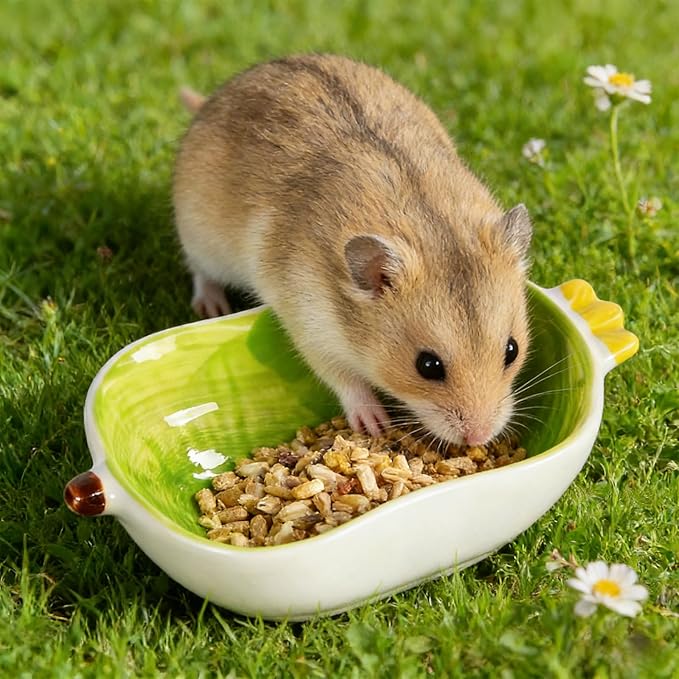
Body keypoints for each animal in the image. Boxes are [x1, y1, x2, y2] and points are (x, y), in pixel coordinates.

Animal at [173, 54, 532, 446]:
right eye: (427, 366)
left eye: (512, 350)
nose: (479, 438)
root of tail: (211, 101)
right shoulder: (310, 325)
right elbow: (344, 377)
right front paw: (375, 425)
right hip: (200, 238)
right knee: (200, 272)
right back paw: (212, 307)